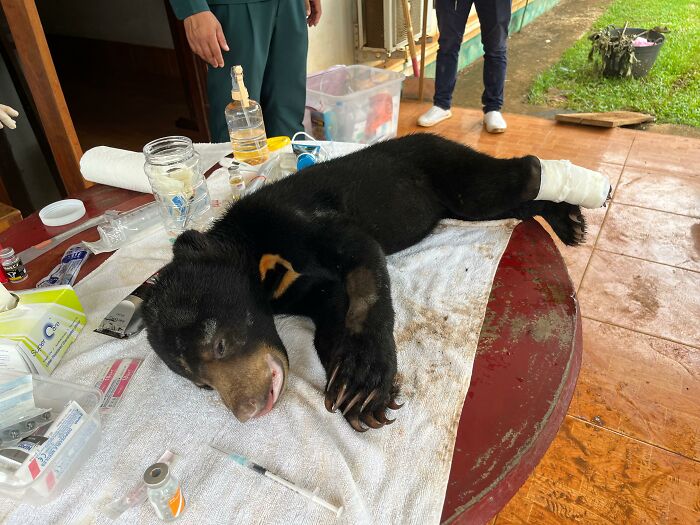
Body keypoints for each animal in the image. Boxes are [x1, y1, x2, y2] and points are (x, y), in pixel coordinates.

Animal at [143, 133, 608, 432]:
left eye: (219, 344)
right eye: (202, 385)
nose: (249, 410)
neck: (259, 260)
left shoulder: (295, 216)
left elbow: (362, 263)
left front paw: (366, 376)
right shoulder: (302, 292)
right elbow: (331, 313)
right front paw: (358, 397)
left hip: (446, 169)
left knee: (521, 174)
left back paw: (582, 194)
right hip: (464, 205)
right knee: (512, 202)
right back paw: (566, 218)